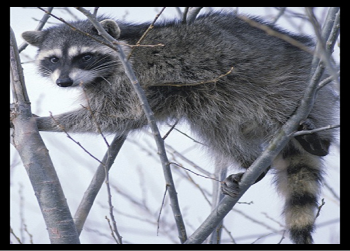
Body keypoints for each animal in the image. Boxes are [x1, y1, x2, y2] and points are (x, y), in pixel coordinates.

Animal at [20, 11, 338, 243]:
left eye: (84, 56)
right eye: (53, 59)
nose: (63, 82)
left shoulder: (134, 79)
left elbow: (116, 113)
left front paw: (46, 121)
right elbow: (120, 117)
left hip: (288, 83)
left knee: (277, 104)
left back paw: (318, 142)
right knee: (214, 126)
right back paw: (250, 165)